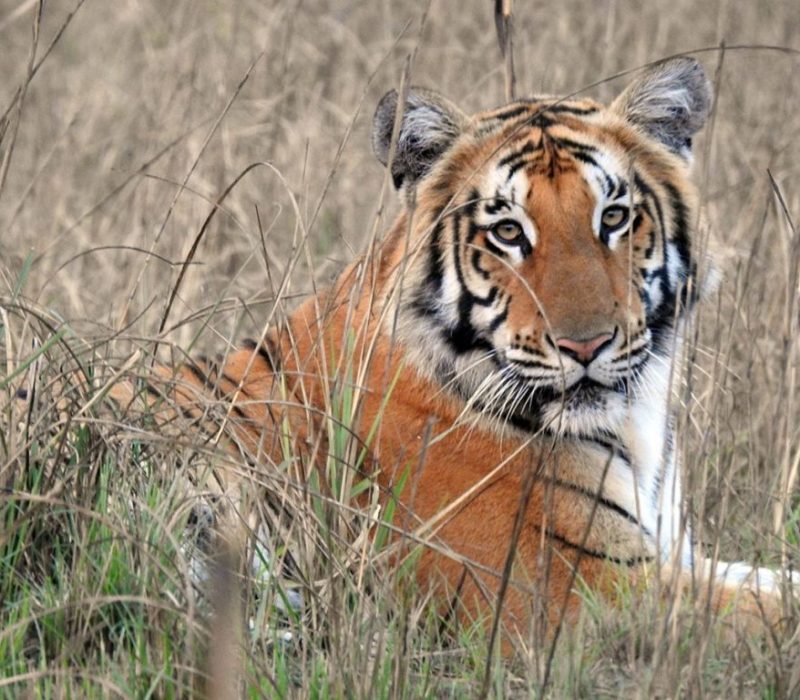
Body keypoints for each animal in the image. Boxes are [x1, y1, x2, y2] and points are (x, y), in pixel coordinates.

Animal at [115, 57, 796, 650]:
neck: (633, 420)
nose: (585, 344)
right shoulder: (573, 591)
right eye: (508, 232)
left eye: (614, 218)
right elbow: (773, 612)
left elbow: (773, 578)